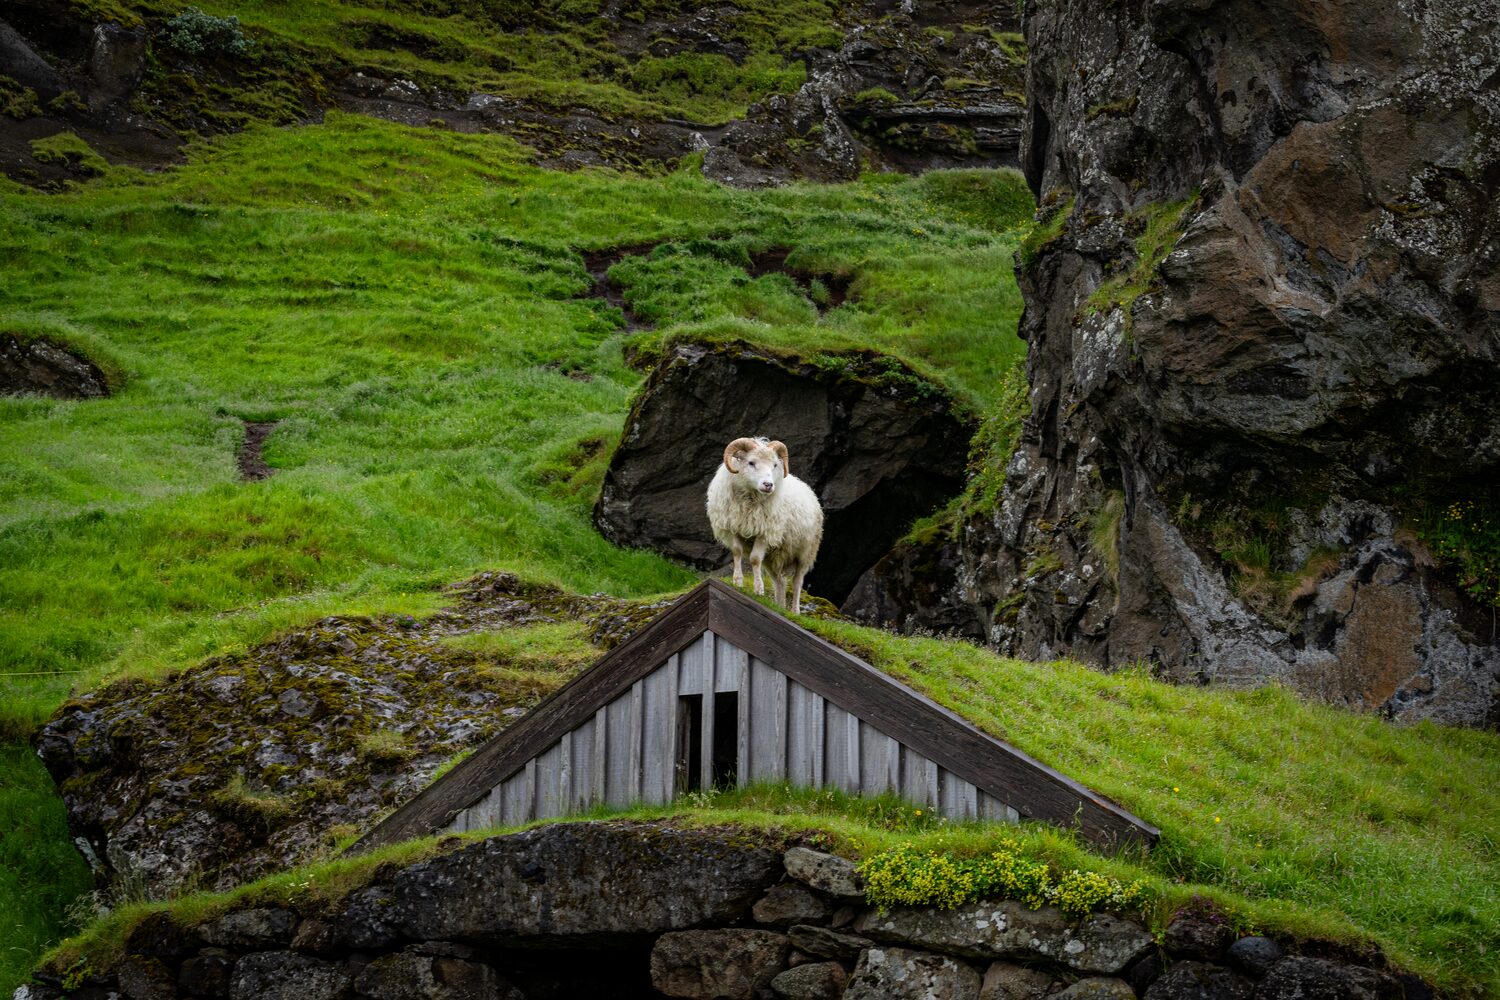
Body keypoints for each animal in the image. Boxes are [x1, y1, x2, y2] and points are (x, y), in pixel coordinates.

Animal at [706, 436, 824, 614]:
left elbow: (755, 559)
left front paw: (758, 589)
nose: (768, 485)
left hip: (805, 552)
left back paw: (795, 611)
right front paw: (737, 581)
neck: (750, 500)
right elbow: (737, 552)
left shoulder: (765, 533)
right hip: (774, 556)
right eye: (751, 462)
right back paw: (779, 606)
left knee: (797, 581)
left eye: (774, 465)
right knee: (779, 581)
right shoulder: (734, 528)